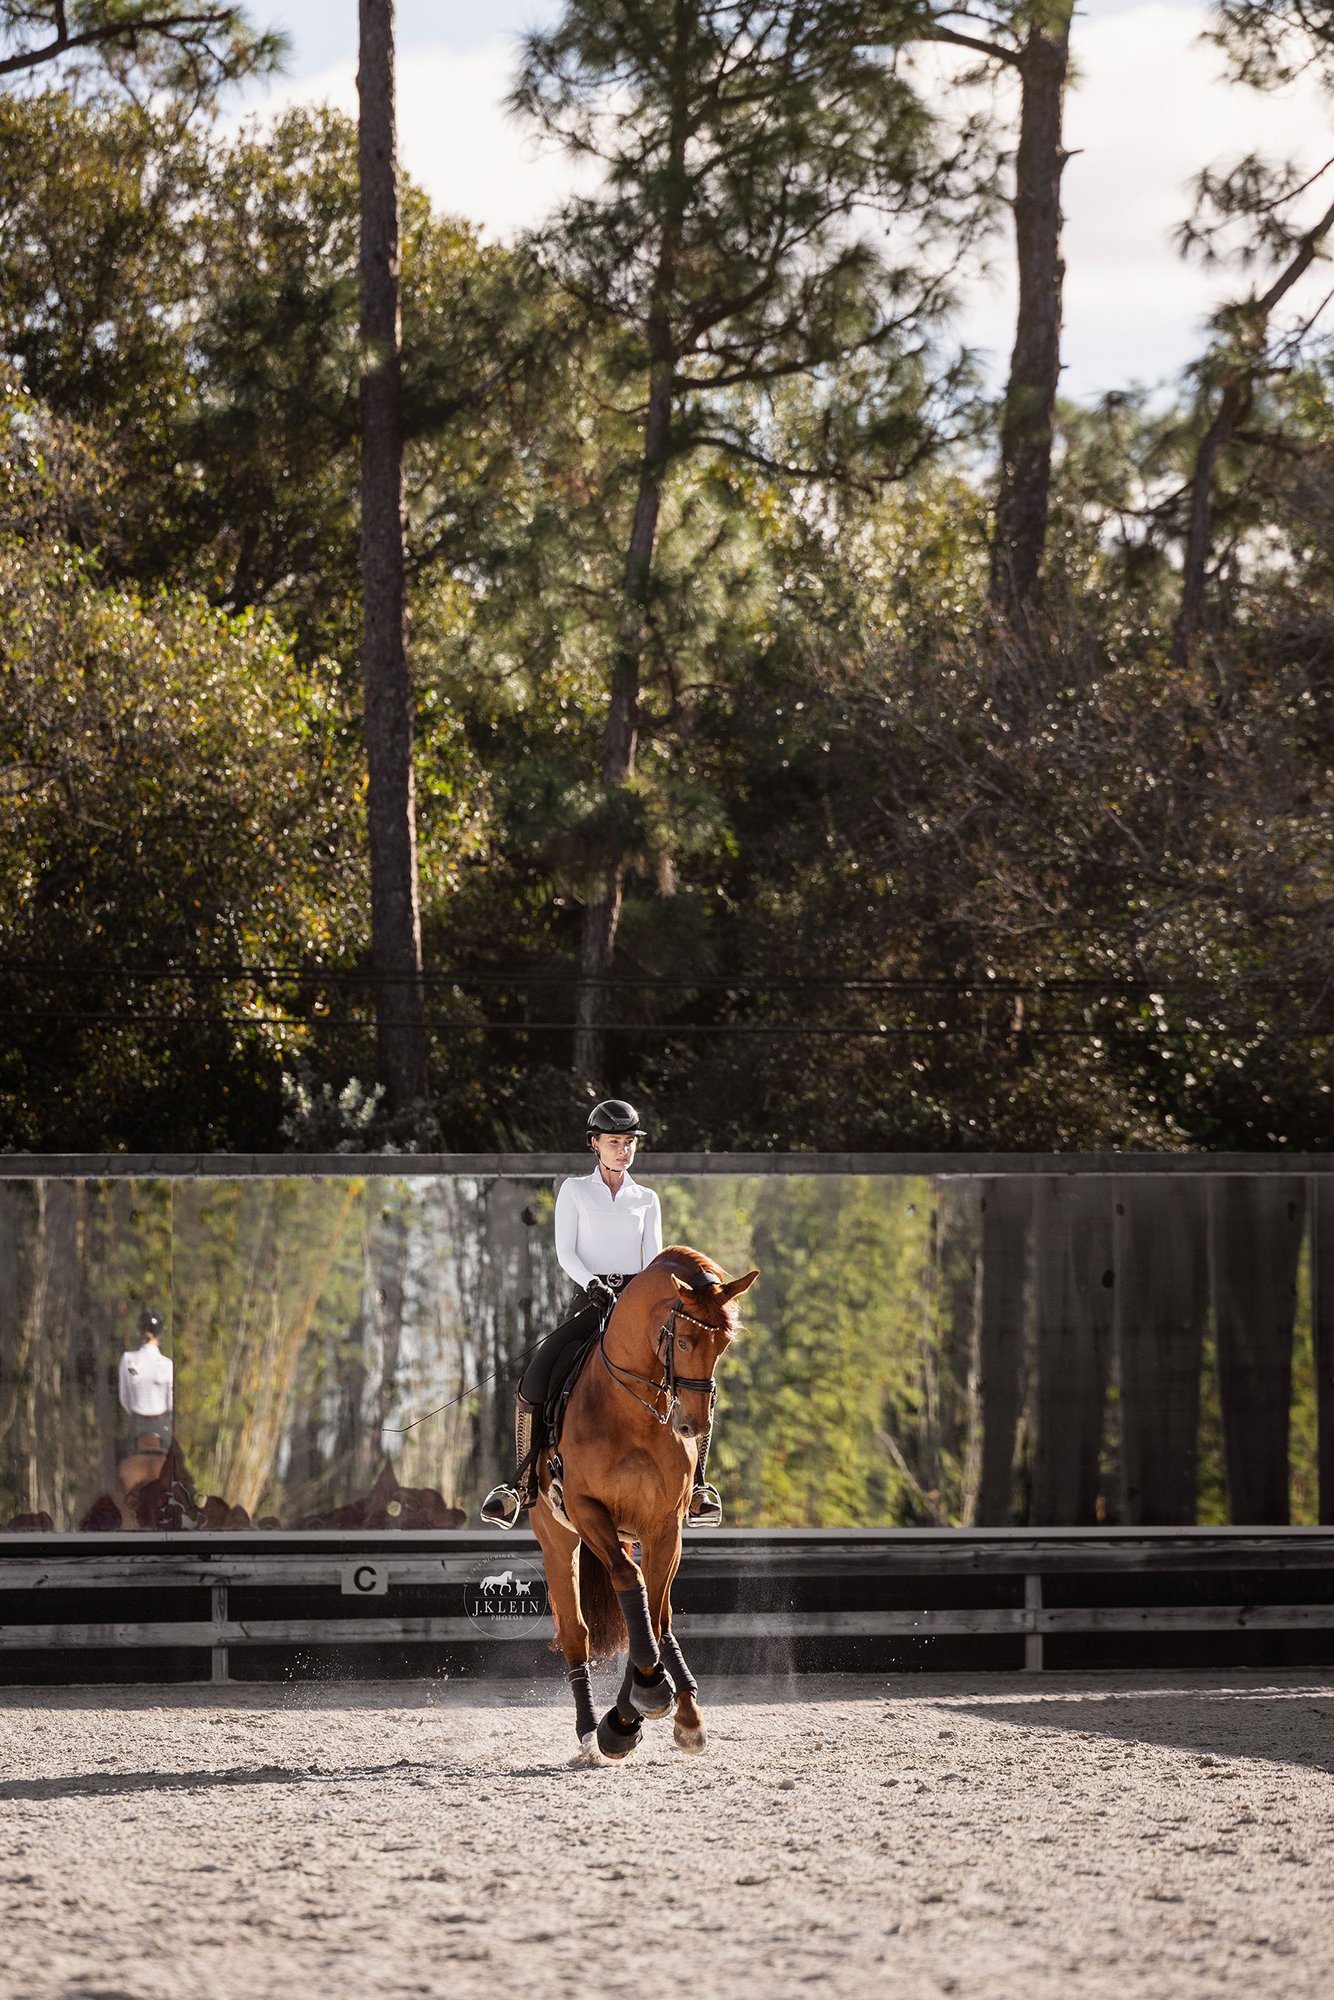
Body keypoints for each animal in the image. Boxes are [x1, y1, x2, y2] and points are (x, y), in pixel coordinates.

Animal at [529, 1243, 758, 1764]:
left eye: (722, 1345)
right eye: (684, 1342)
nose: (692, 1425)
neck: (630, 1410)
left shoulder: (664, 1525)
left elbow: (654, 1615)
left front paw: (652, 1710)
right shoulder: (587, 1509)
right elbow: (629, 1582)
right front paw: (644, 1698)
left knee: (657, 1617)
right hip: (558, 1540)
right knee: (577, 1634)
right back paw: (589, 1733)